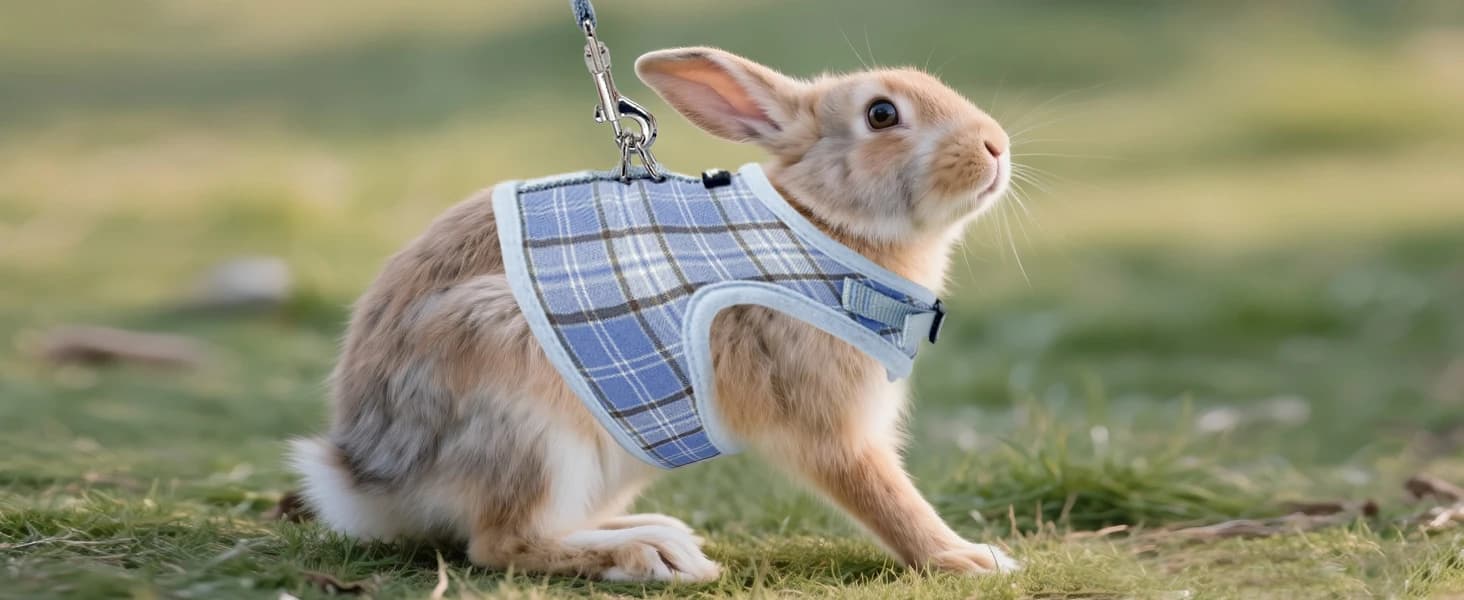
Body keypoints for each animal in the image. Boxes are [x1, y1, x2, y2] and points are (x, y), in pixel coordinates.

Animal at [290, 46, 1015, 583]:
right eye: (882, 114)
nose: (995, 144)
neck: (826, 219)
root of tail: (365, 474)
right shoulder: (826, 418)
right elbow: (884, 496)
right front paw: (971, 560)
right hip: (528, 410)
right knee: (501, 543)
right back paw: (646, 556)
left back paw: (657, 535)